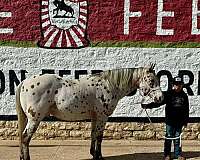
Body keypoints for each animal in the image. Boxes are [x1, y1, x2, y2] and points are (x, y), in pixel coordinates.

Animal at [16, 65, 163, 160]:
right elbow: (99, 136)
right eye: (151, 81)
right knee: (25, 137)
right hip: (35, 119)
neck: (109, 85)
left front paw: (93, 153)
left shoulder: (95, 116)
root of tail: (24, 82)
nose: (160, 98)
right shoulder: (103, 117)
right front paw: (99, 156)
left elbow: (93, 134)